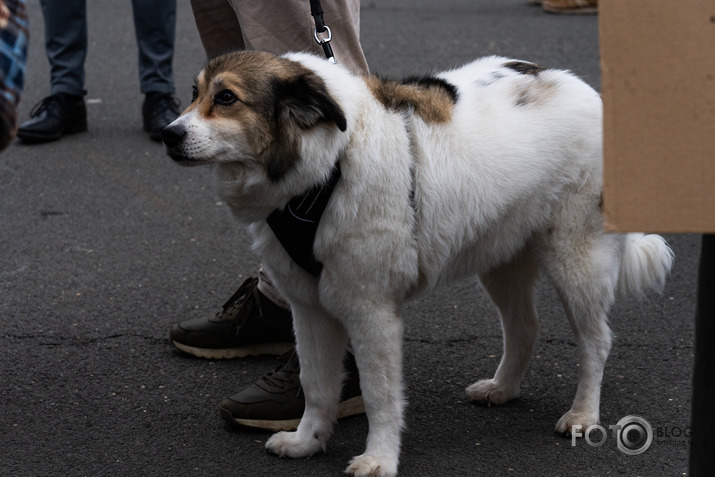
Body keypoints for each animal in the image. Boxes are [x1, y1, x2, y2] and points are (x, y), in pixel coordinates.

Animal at [164, 50, 676, 474]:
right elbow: (316, 384)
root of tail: (581, 87)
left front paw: (379, 459)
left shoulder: (372, 314)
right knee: (525, 328)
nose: (168, 135)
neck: (330, 164)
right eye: (194, 94)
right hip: (500, 258)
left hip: (577, 262)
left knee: (596, 342)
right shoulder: (310, 310)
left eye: (226, 98)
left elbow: (380, 396)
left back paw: (583, 414)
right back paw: (502, 388)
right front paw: (307, 441)